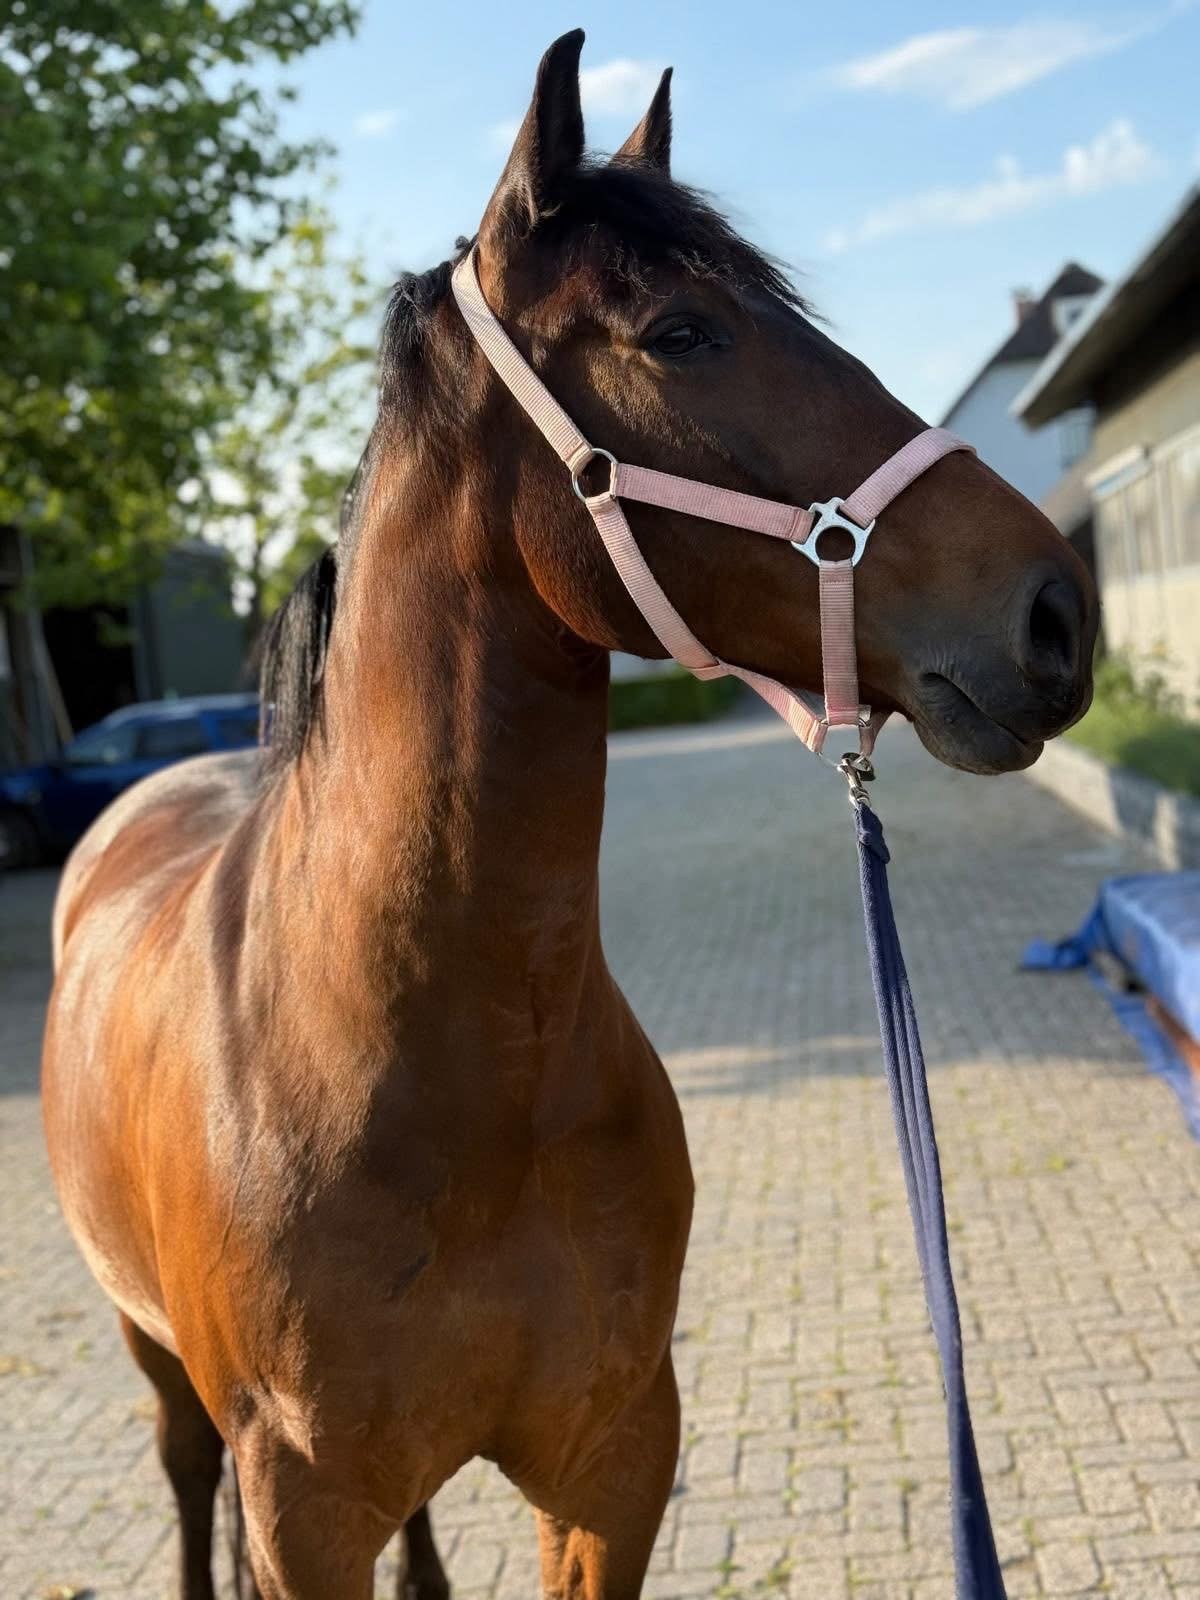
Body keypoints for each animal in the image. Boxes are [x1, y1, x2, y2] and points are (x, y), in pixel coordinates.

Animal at [41, 30, 1097, 1600]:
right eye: (679, 333)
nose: (1055, 614)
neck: (451, 1065)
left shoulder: (614, 1460)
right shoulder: (298, 1509)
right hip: (153, 1356)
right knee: (179, 1480)